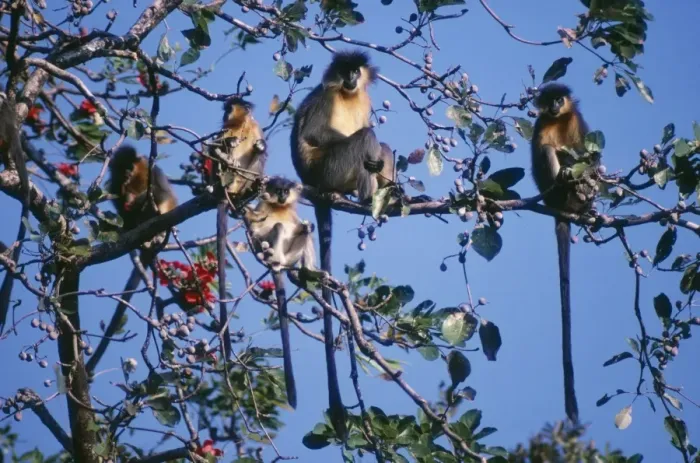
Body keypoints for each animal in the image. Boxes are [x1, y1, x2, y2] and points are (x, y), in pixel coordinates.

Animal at [86, 145, 178, 374]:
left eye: (130, 167)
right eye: (121, 169)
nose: (126, 174)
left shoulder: (152, 170)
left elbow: (161, 192)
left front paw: (139, 200)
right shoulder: (116, 181)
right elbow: (117, 198)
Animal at [244, 176, 316, 409]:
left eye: (286, 191)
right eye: (278, 191)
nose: (283, 196)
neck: (278, 207)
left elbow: (301, 226)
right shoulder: (262, 210)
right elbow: (256, 228)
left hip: (291, 256)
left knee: (304, 230)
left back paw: (310, 271)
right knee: (277, 227)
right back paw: (274, 260)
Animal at [289, 49, 393, 438]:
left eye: (356, 71)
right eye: (344, 71)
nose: (350, 78)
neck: (347, 95)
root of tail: (317, 188)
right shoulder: (327, 97)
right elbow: (315, 132)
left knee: (381, 145)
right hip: (330, 169)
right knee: (365, 137)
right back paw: (367, 196)